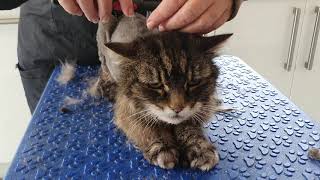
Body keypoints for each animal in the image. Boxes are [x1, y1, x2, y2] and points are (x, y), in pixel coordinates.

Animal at [94, 13, 231, 171]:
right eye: (156, 85)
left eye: (193, 82)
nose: (177, 108)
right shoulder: (128, 111)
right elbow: (149, 129)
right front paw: (162, 147)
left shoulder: (195, 112)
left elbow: (189, 128)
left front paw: (199, 148)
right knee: (103, 68)